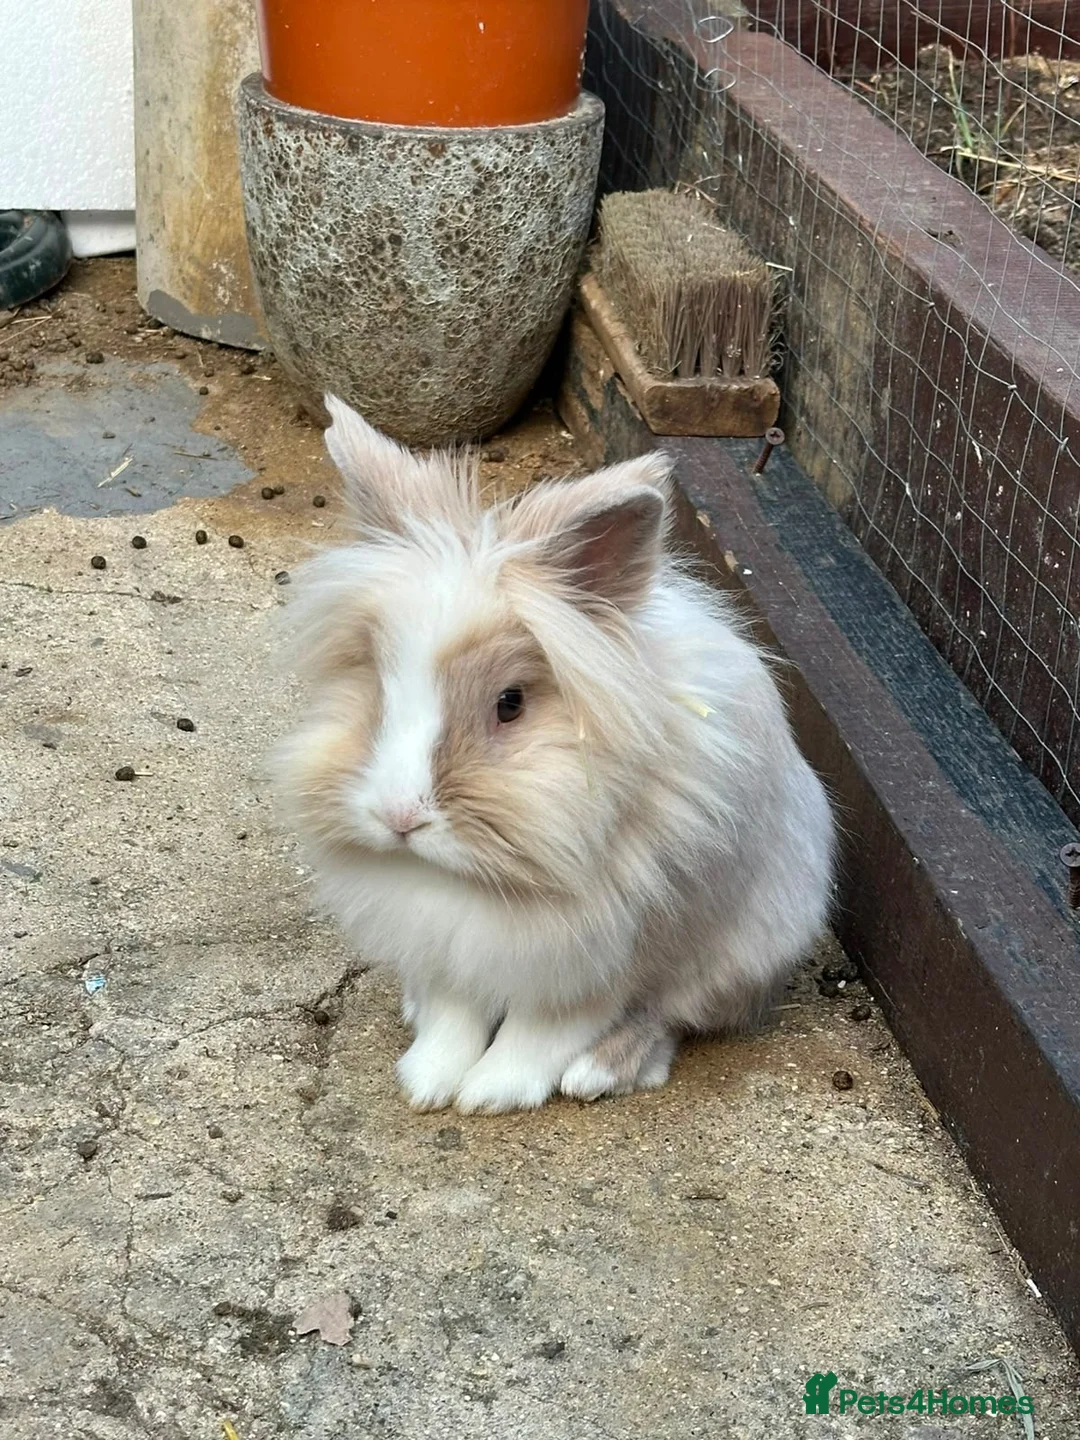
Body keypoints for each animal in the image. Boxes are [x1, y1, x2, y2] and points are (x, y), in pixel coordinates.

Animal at [275, 395, 836, 1114]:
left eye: (511, 703)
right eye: (377, 680)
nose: (400, 818)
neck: (474, 881)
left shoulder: (604, 953)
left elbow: (549, 1027)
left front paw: (493, 1091)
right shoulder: (445, 939)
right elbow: (455, 1011)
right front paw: (430, 1080)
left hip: (741, 949)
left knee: (669, 1017)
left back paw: (602, 1071)